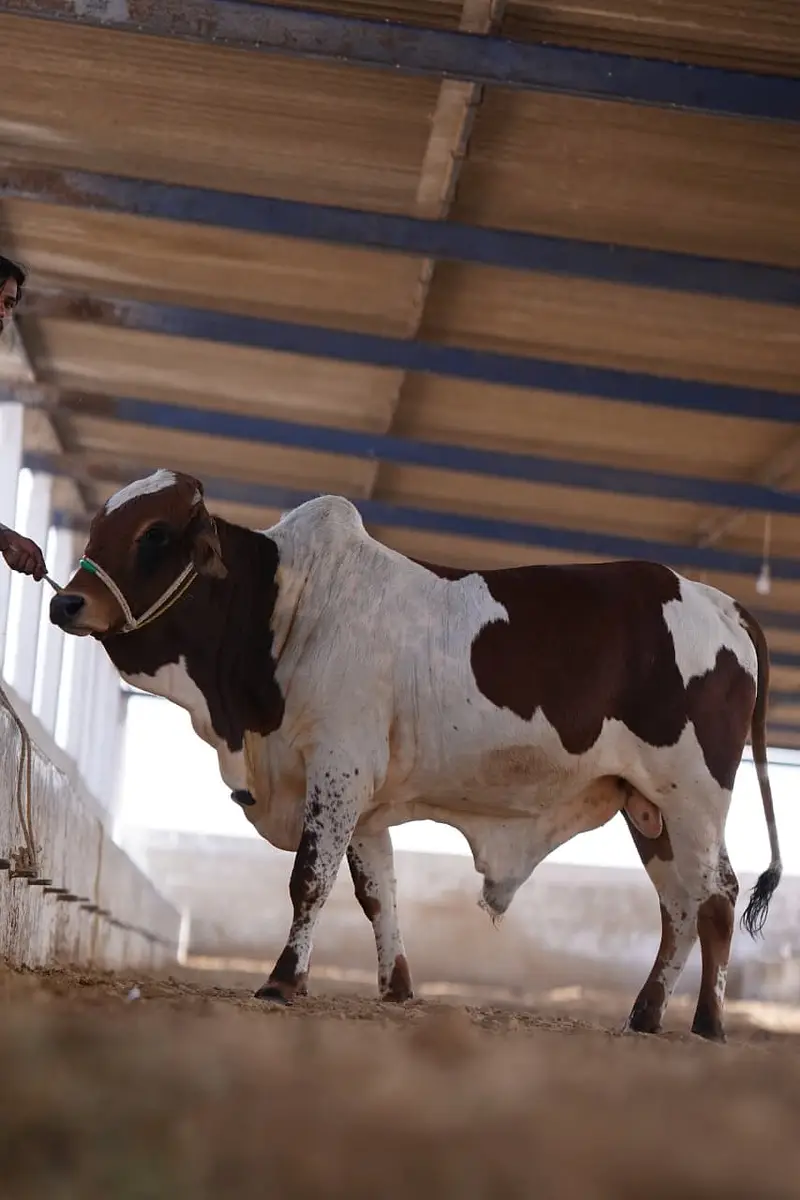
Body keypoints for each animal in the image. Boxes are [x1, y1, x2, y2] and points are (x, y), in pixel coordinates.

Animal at [49, 469, 782, 1042]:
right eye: (100, 523)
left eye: (155, 534)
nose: (67, 602)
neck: (284, 609)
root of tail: (719, 601)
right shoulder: (362, 799)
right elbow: (379, 894)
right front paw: (396, 987)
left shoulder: (338, 766)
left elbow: (309, 881)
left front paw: (283, 981)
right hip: (649, 806)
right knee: (679, 906)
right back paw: (645, 1013)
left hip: (694, 795)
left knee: (716, 898)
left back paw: (708, 1024)